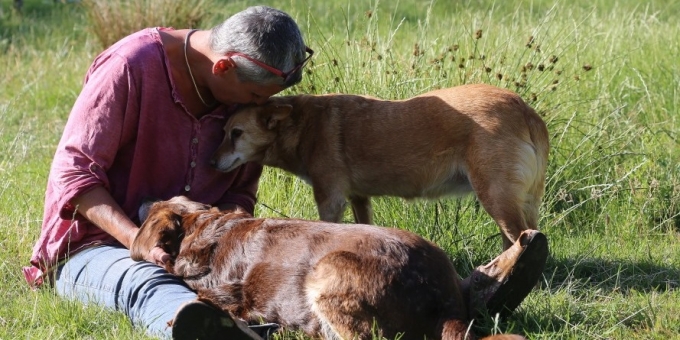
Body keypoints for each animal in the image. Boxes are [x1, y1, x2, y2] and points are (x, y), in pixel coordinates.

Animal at [210, 83, 548, 250]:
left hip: (495, 196)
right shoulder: (359, 198)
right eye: (223, 131)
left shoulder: (330, 199)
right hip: (517, 200)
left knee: (524, 240)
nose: (211, 161)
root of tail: (523, 108)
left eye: (236, 133)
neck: (303, 125)